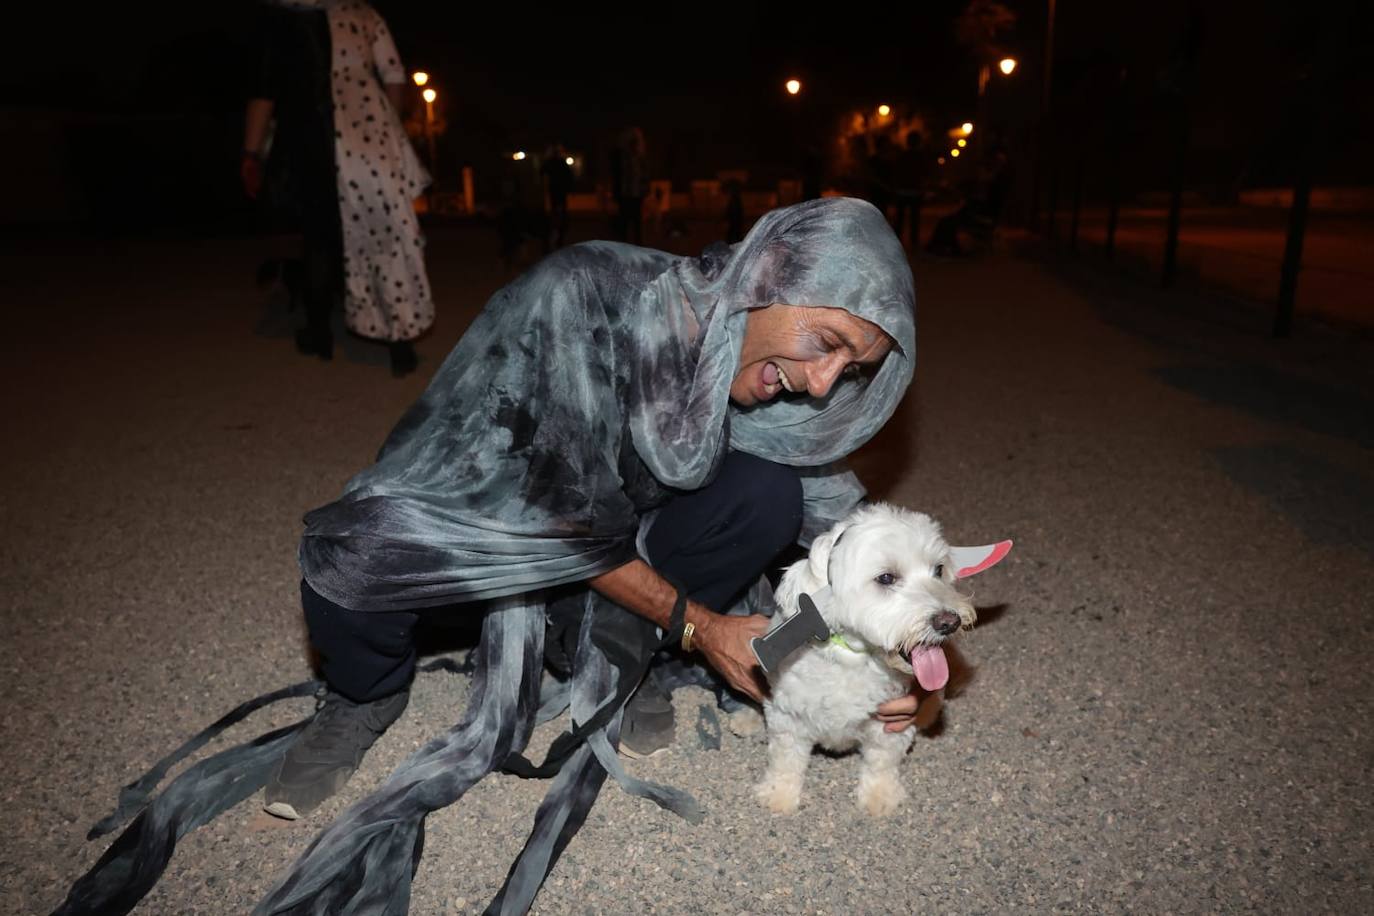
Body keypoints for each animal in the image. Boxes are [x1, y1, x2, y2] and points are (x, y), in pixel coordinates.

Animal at [752, 505, 1011, 818]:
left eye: (938, 570)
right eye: (886, 578)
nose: (950, 622)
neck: (853, 658)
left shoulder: (890, 723)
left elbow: (882, 761)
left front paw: (880, 795)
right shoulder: (789, 717)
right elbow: (786, 760)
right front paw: (779, 793)